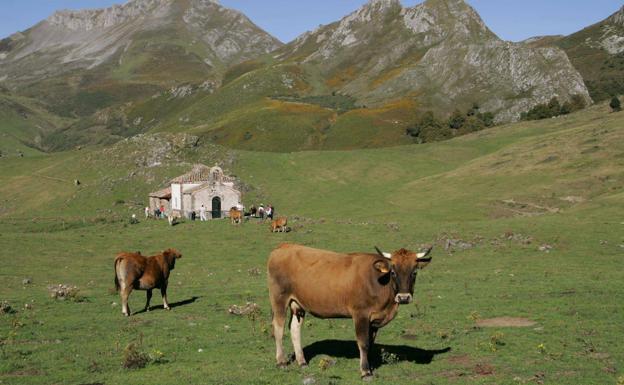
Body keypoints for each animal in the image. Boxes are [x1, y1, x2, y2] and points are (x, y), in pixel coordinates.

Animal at [266, 243, 432, 376]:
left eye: (414, 272)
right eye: (393, 272)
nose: (404, 297)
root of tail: (284, 246)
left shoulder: (374, 319)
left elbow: (370, 344)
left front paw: (370, 366)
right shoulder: (360, 314)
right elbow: (363, 343)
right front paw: (365, 371)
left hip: (297, 304)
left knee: (294, 328)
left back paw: (302, 362)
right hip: (279, 299)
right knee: (278, 328)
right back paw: (281, 361)